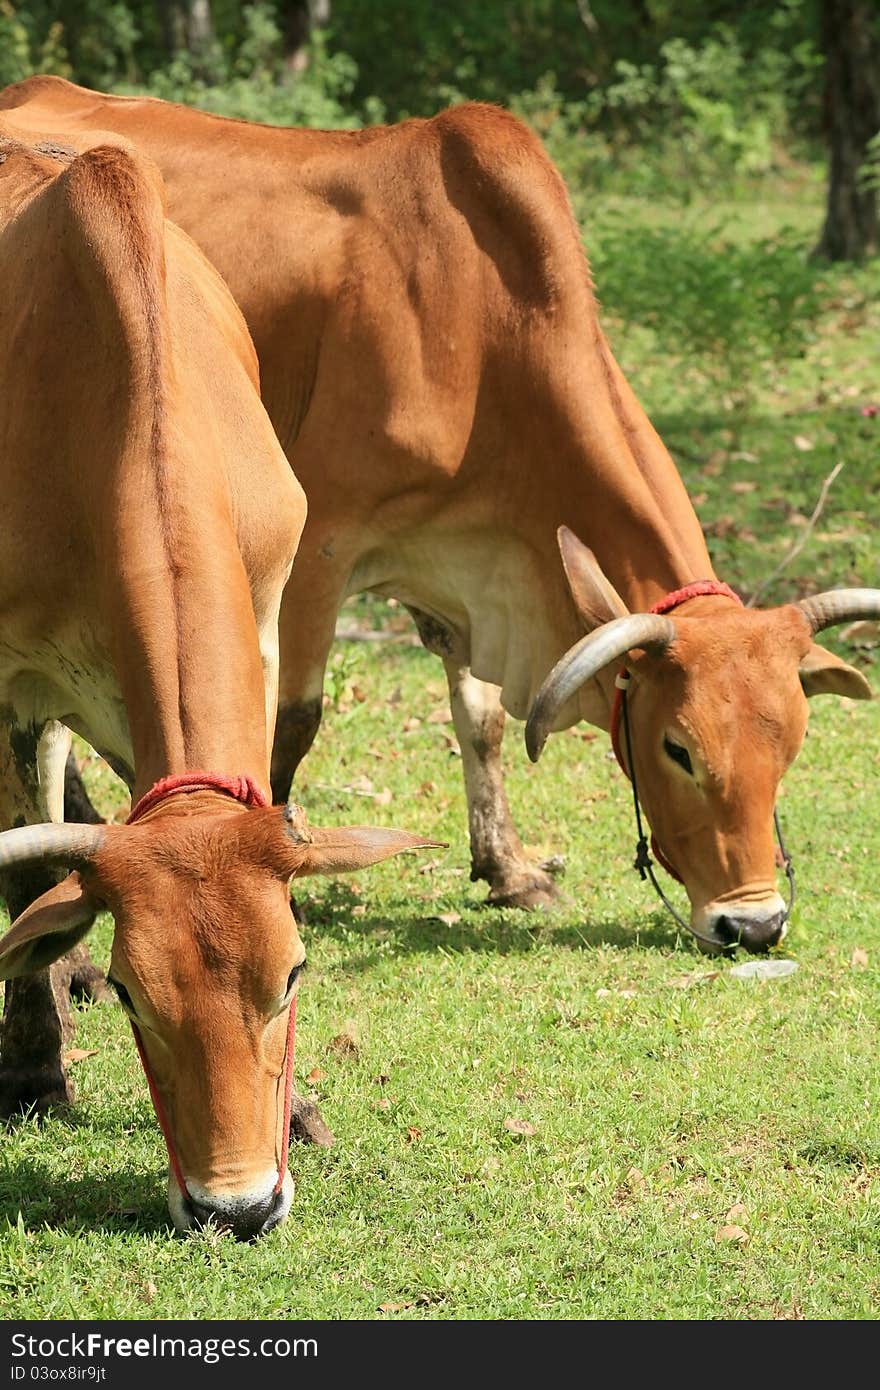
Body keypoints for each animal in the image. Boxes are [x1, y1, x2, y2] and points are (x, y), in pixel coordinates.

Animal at [0, 122, 436, 1239]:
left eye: (291, 974)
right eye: (136, 994)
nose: (236, 1205)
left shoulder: (268, 617)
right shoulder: (12, 680)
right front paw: (35, 1067)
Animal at [3, 78, 873, 956]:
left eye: (793, 745)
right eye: (679, 749)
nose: (754, 923)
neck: (486, 323)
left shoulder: (468, 560)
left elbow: (480, 720)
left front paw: (510, 869)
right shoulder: (319, 551)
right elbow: (293, 724)